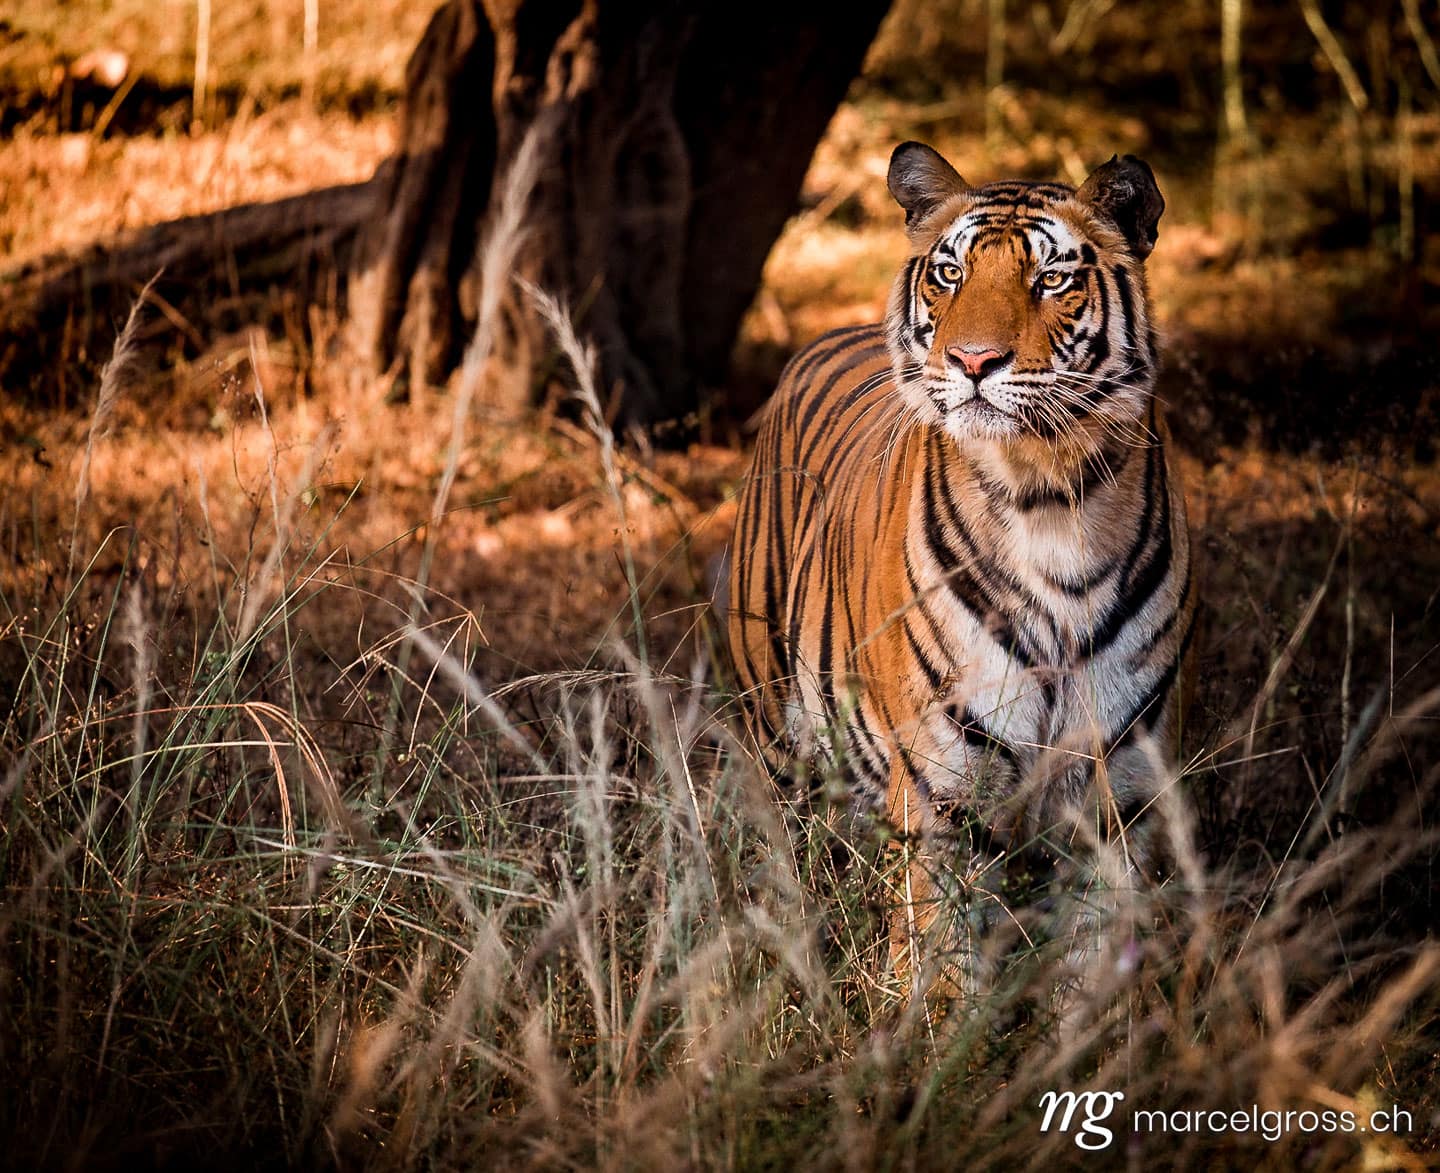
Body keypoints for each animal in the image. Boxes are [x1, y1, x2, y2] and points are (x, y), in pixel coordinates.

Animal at [727, 141, 1195, 997]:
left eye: (1051, 279)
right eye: (949, 273)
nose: (973, 360)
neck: (1051, 500)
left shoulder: (1118, 803)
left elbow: (1095, 982)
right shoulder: (941, 796)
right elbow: (940, 970)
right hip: (775, 742)